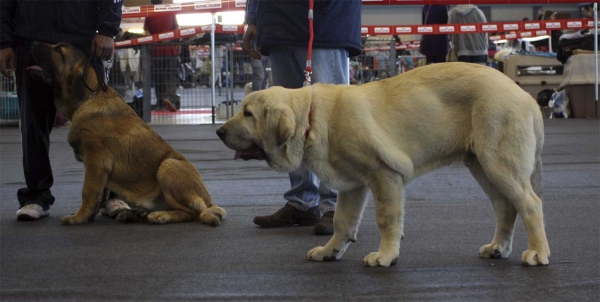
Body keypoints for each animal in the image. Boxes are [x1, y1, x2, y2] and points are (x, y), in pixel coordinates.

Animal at [29, 42, 225, 226]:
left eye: (59, 50)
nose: (32, 43)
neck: (88, 98)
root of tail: (209, 201)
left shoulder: (96, 161)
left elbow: (88, 192)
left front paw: (78, 218)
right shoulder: (97, 168)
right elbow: (99, 195)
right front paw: (88, 216)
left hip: (168, 166)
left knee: (192, 213)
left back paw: (160, 215)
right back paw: (133, 214)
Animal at [218, 62, 552, 266]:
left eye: (248, 114)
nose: (219, 132)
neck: (310, 118)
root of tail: (525, 95)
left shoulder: (384, 175)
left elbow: (386, 219)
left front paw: (385, 256)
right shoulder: (352, 185)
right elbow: (342, 222)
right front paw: (330, 251)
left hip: (499, 162)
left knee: (530, 204)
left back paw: (537, 252)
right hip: (482, 165)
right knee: (506, 207)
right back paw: (497, 248)